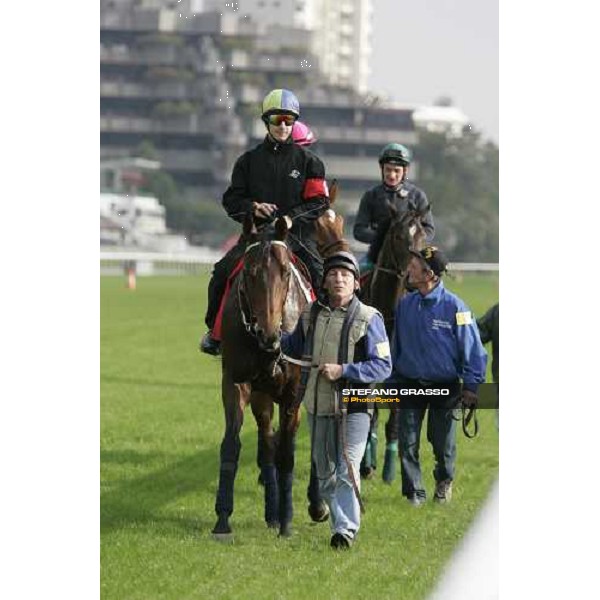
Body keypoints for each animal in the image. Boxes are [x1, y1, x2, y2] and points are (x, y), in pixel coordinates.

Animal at [213, 212, 312, 540]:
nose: (269, 335)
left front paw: (287, 523)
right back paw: (271, 511)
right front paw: (222, 518)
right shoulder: (237, 382)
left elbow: (287, 454)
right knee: (267, 442)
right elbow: (232, 444)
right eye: (249, 272)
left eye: (285, 272)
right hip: (262, 395)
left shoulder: (293, 392)